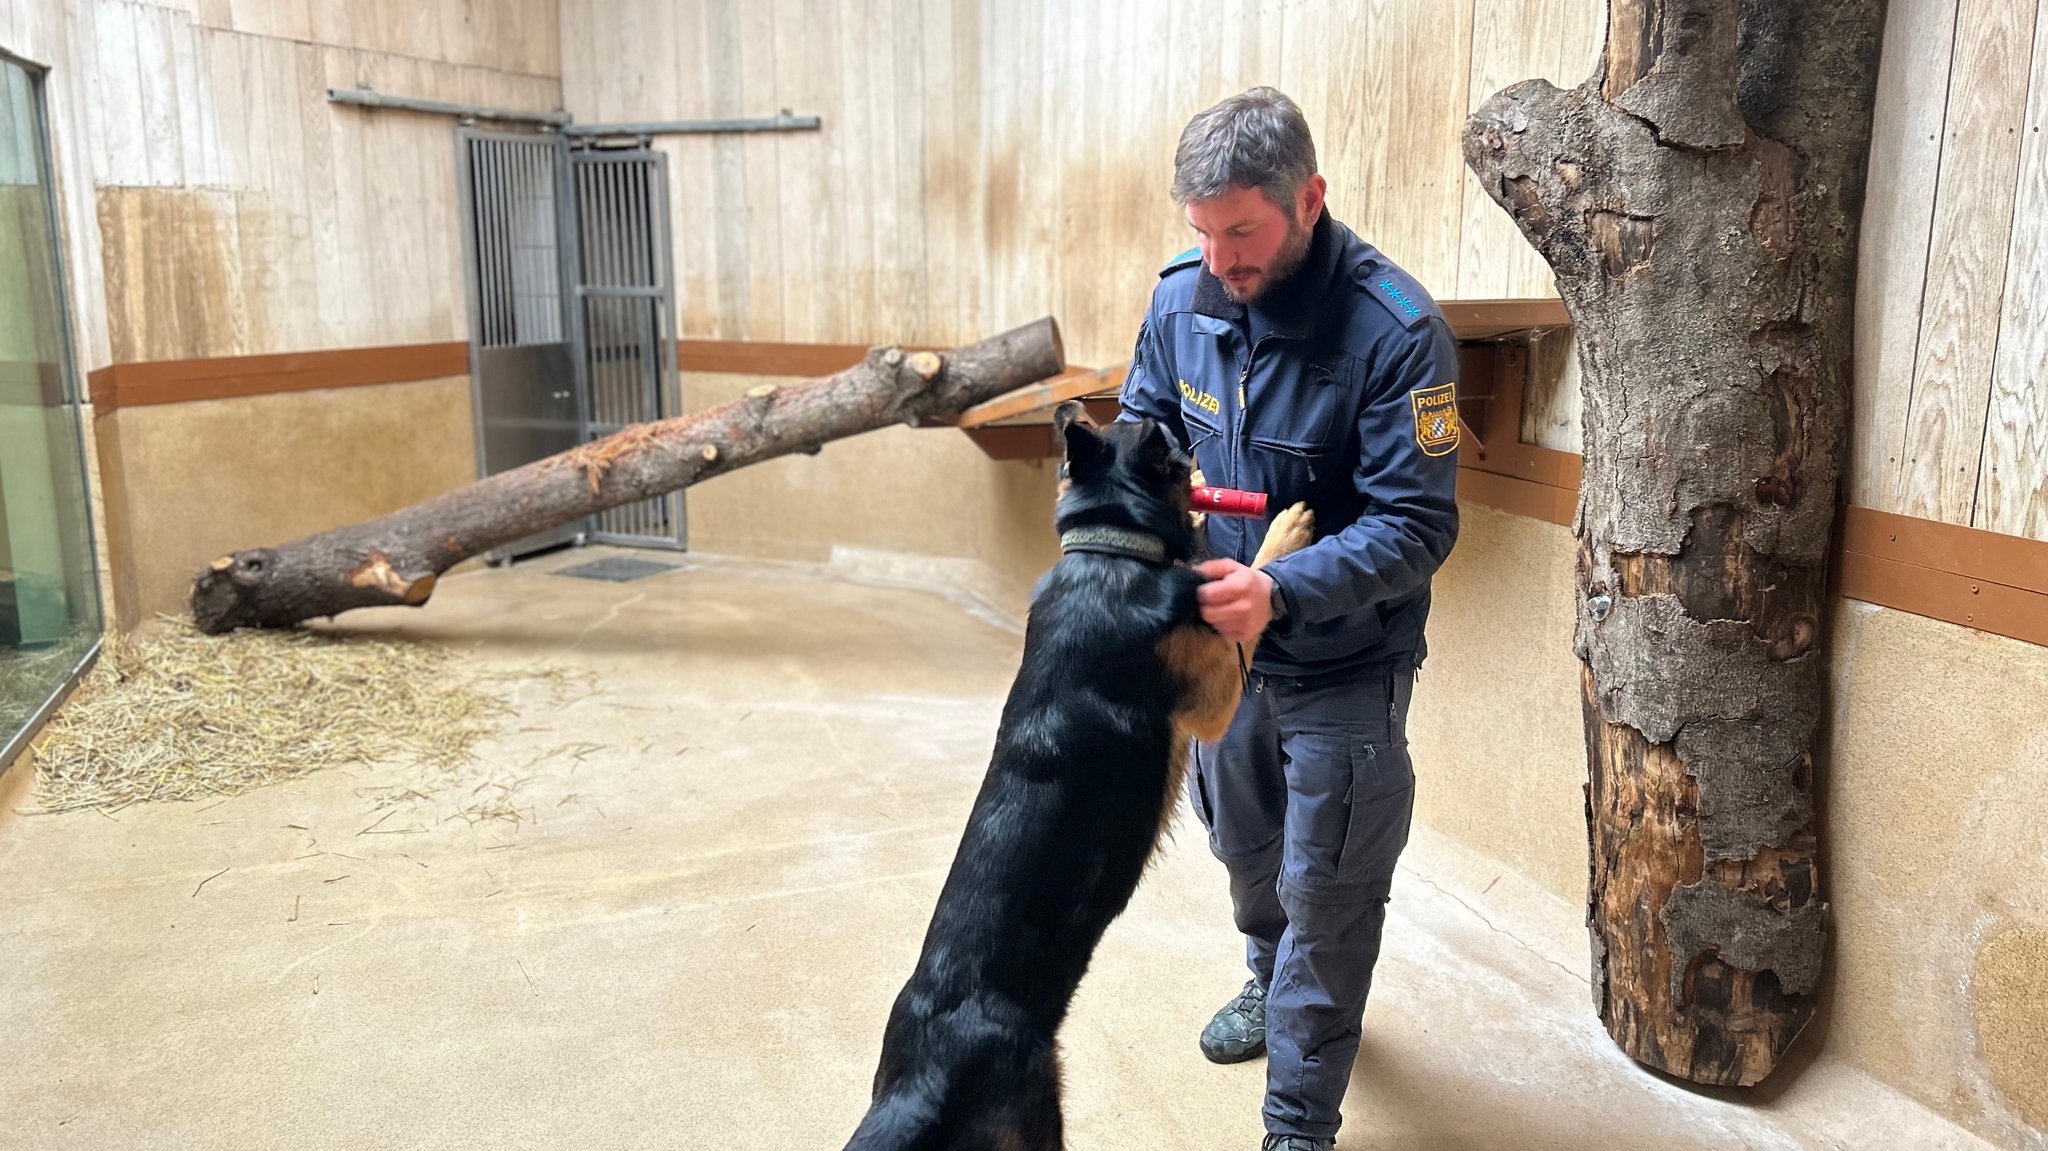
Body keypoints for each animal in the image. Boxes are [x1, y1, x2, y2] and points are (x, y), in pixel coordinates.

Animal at [843, 399, 1310, 1138]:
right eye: (1176, 443)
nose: (1201, 453)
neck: (1107, 547)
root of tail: (915, 1084)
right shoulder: (1211, 694)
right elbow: (1249, 581)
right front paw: (1286, 530)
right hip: (1038, 1113)